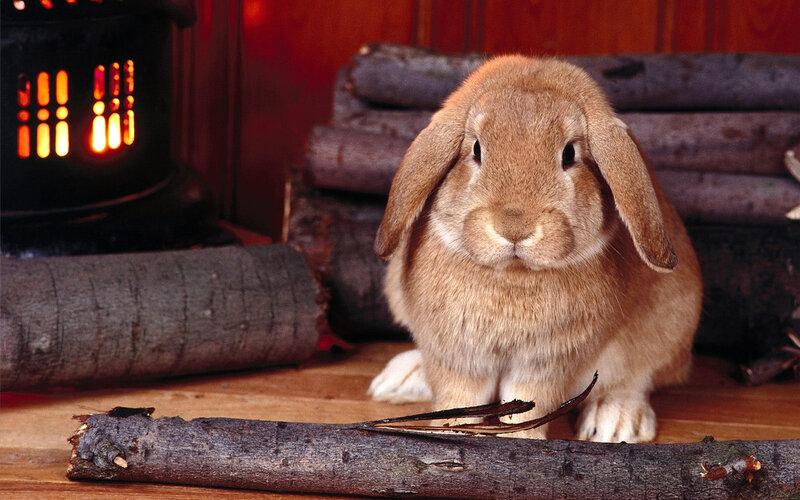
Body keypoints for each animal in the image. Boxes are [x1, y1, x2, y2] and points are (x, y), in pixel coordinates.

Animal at [367, 54, 703, 443]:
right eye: (476, 149)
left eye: (569, 153)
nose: (514, 227)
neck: (512, 275)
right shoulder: (457, 356)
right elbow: (459, 398)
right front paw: (451, 434)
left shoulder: (547, 363)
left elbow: (529, 406)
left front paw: (521, 442)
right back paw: (400, 380)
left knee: (636, 379)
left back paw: (615, 422)